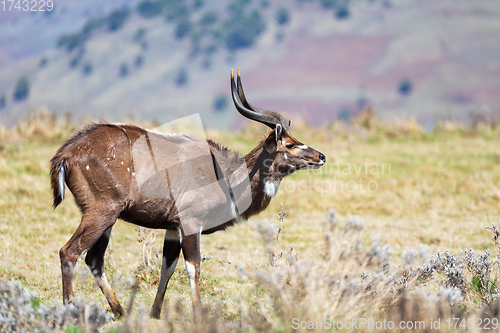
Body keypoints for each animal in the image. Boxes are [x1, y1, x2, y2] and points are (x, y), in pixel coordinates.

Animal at [49, 69, 324, 320]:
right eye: (289, 144)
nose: (321, 156)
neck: (225, 176)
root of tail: (66, 154)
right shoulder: (191, 222)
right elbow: (194, 267)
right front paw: (198, 315)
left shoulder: (172, 227)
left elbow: (167, 267)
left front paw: (155, 314)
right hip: (102, 211)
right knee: (70, 252)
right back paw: (70, 311)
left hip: (108, 218)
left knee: (94, 260)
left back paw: (119, 311)